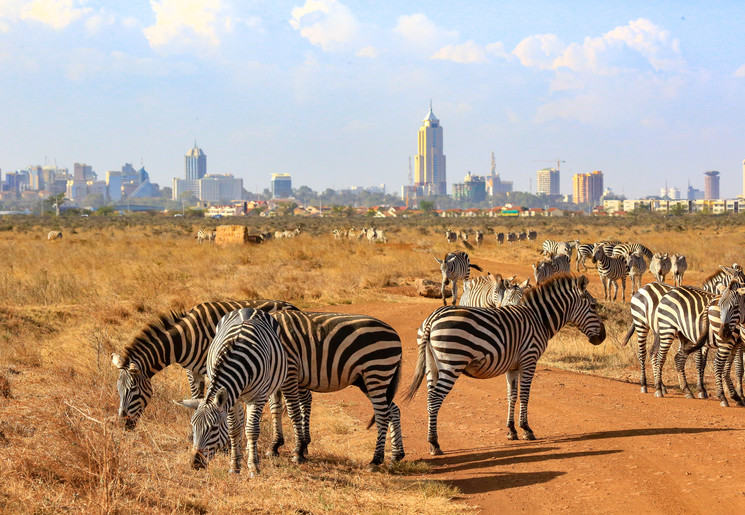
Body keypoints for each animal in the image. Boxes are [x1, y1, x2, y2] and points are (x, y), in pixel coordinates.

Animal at [112, 300, 298, 430]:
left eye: (133, 390)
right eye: (119, 390)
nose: (123, 424)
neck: (185, 339)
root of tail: (292, 306)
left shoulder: (211, 370)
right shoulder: (192, 371)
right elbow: (196, 398)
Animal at [175, 308, 288, 478]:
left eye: (213, 428)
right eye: (193, 426)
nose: (195, 464)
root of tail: (249, 309)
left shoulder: (258, 397)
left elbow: (252, 430)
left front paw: (254, 467)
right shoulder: (231, 399)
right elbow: (234, 429)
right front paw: (235, 466)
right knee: (241, 423)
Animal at [268, 310, 404, 472]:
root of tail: (395, 334)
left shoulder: (290, 371)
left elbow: (293, 412)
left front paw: (298, 451)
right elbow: (275, 409)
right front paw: (274, 446)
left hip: (376, 371)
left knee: (383, 415)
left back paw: (375, 460)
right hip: (369, 380)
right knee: (393, 410)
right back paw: (396, 456)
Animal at [402, 276, 604, 454]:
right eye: (594, 306)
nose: (602, 338)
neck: (539, 319)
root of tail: (432, 319)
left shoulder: (512, 367)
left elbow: (511, 396)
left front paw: (511, 430)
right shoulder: (529, 359)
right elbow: (524, 395)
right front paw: (526, 429)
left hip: (432, 366)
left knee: (430, 398)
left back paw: (432, 441)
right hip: (452, 363)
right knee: (435, 399)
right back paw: (435, 444)